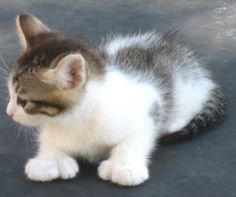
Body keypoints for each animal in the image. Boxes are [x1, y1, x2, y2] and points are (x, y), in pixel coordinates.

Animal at [6, 14, 225, 186]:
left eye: (23, 101)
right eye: (9, 94)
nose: (8, 113)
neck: (76, 119)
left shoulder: (149, 106)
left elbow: (137, 137)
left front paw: (124, 166)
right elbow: (49, 139)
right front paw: (48, 161)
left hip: (187, 86)